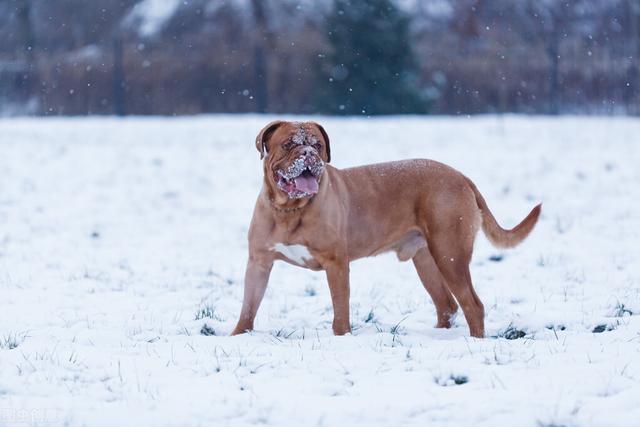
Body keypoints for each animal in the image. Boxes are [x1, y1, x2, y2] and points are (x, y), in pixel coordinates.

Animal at [230, 120, 540, 338]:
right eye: (288, 144)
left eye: (317, 146)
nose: (308, 154)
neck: (289, 210)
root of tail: (462, 177)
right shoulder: (258, 262)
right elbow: (248, 306)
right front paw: (238, 335)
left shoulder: (336, 263)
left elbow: (340, 309)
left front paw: (341, 338)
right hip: (427, 260)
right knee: (447, 305)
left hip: (450, 255)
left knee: (472, 305)